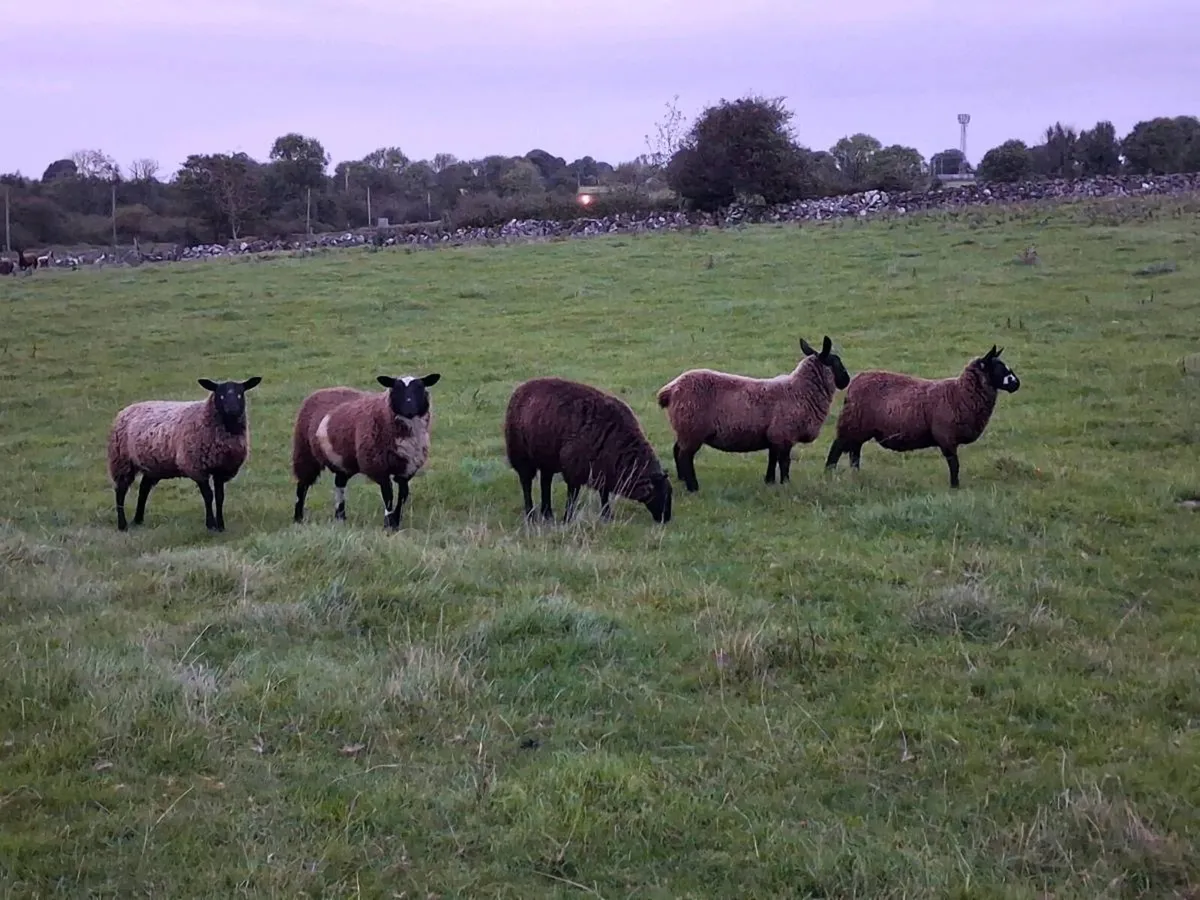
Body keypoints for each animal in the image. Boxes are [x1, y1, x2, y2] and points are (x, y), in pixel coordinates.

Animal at [107, 376, 263, 532]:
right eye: (220, 395)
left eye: (240, 394)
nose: (232, 409)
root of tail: (127, 409)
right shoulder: (196, 467)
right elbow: (208, 496)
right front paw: (211, 525)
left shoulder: (221, 469)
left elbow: (220, 497)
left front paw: (221, 526)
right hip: (122, 461)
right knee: (120, 491)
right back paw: (122, 525)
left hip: (154, 465)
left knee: (143, 489)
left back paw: (138, 519)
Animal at [291, 373, 441, 530]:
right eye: (396, 389)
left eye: (420, 388)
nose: (409, 409)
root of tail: (323, 390)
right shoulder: (378, 466)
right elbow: (388, 495)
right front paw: (389, 524)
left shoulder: (406, 468)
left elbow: (403, 495)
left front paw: (396, 521)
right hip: (305, 453)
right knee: (302, 487)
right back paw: (298, 518)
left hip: (342, 461)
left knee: (339, 485)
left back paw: (340, 518)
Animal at [503, 376, 672, 525]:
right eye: (663, 494)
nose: (666, 520)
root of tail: (521, 388)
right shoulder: (574, 469)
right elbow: (572, 496)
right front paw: (567, 519)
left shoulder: (603, 469)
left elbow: (604, 495)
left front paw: (607, 516)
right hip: (521, 455)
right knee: (526, 483)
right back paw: (530, 515)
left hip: (547, 457)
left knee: (546, 482)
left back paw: (548, 514)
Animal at [655, 336, 851, 492]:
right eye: (836, 362)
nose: (847, 380)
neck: (799, 390)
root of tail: (670, 390)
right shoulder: (784, 434)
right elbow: (784, 462)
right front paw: (786, 483)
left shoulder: (774, 436)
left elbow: (772, 459)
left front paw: (770, 481)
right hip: (692, 428)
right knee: (685, 456)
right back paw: (693, 487)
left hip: (685, 429)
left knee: (677, 450)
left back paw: (682, 480)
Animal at [824, 344, 1021, 488]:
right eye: (998, 368)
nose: (1016, 384)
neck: (959, 393)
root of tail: (855, 382)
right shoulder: (946, 436)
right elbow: (954, 464)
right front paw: (955, 487)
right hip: (852, 423)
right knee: (837, 449)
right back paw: (828, 475)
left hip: (859, 428)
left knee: (854, 453)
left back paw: (856, 475)